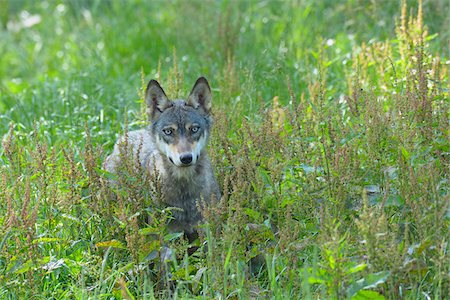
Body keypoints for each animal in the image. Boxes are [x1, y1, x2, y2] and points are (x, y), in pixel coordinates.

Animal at [103, 77, 220, 239]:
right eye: (168, 131)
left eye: (194, 129)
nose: (186, 158)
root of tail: (122, 140)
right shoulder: (164, 236)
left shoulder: (209, 231)